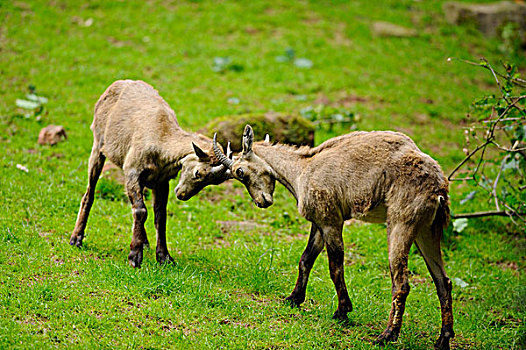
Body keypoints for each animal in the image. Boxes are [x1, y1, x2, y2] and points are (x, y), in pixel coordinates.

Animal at [71, 81, 232, 268]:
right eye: (198, 172)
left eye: (213, 182)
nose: (182, 195)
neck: (161, 136)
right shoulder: (132, 171)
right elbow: (141, 210)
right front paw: (134, 257)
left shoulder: (161, 181)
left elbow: (160, 216)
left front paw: (164, 257)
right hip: (98, 146)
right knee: (89, 194)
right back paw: (76, 238)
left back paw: (145, 242)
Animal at [212, 125, 456, 350]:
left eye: (240, 171)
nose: (261, 202)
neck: (303, 168)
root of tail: (439, 189)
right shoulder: (319, 223)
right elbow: (305, 259)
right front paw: (293, 299)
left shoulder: (331, 221)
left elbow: (335, 267)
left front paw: (342, 311)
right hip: (427, 230)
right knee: (443, 282)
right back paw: (443, 339)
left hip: (401, 224)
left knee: (402, 283)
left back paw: (387, 335)